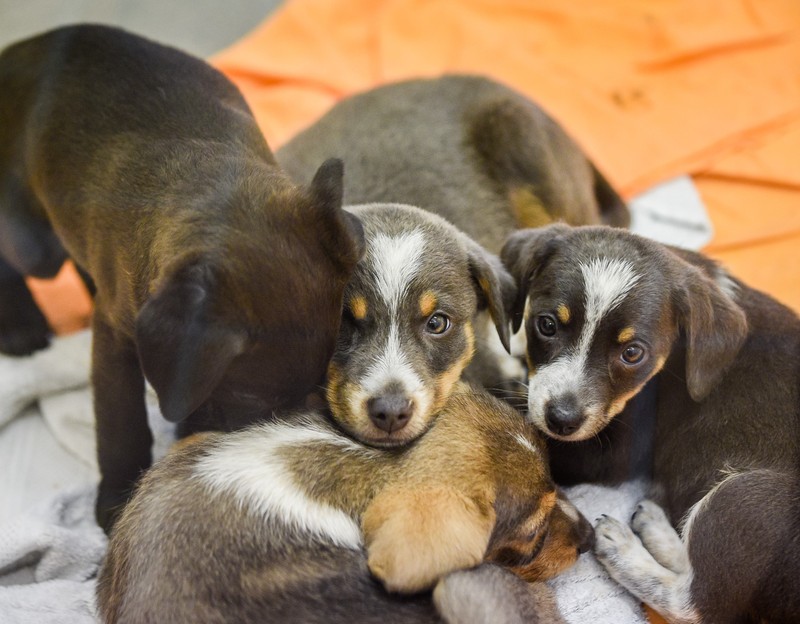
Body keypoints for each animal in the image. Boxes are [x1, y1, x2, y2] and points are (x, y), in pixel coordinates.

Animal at [0, 25, 364, 532]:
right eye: (246, 398)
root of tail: (22, 49)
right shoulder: (116, 341)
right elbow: (121, 422)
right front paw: (118, 498)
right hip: (33, 245)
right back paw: (19, 326)